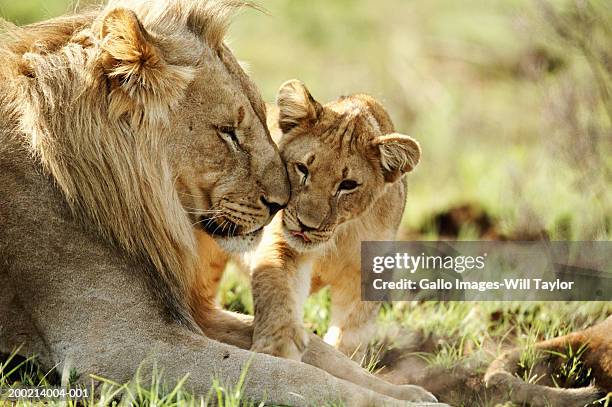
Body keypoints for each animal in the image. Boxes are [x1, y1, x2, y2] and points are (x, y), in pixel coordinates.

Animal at [0, 1, 444, 406]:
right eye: (228, 133)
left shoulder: (193, 315)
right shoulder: (119, 348)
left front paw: (409, 391)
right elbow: (288, 376)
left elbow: (317, 350)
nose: (281, 205)